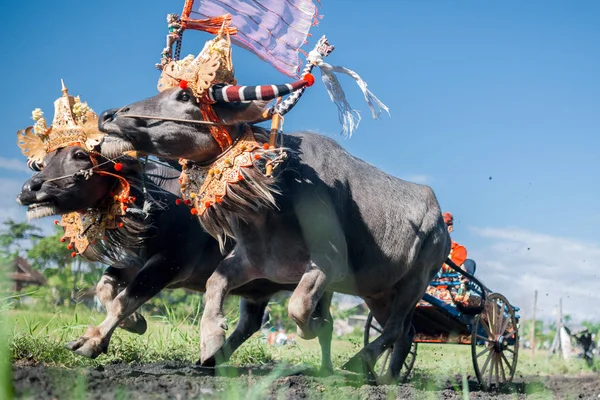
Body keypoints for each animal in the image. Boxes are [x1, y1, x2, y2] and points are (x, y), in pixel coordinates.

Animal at [16, 145, 336, 372]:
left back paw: (329, 369)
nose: (30, 188)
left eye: (80, 155)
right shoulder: (135, 261)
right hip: (257, 286)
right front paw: (135, 322)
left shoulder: (169, 264)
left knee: (324, 322)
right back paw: (212, 357)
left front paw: (92, 341)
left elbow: (124, 299)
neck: (154, 201)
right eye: (44, 161)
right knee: (252, 322)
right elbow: (104, 288)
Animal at [98, 87, 452, 382]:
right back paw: (385, 376)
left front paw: (315, 326)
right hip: (377, 291)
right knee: (405, 333)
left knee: (395, 329)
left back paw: (363, 365)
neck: (276, 196)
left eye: (184, 96)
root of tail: (441, 223)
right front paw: (210, 341)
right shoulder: (250, 261)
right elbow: (215, 284)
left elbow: (300, 308)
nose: (109, 115)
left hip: (416, 280)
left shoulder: (329, 265)